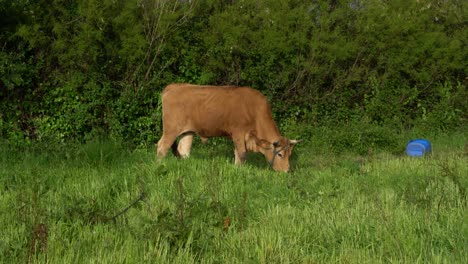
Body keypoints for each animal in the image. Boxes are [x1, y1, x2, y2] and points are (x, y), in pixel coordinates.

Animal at [155, 83, 298, 172]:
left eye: (290, 154)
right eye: (280, 154)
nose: (286, 170)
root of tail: (173, 86)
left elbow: (237, 154)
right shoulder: (239, 133)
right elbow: (242, 154)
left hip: (187, 131)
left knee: (183, 150)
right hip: (171, 129)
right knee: (162, 147)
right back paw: (160, 166)